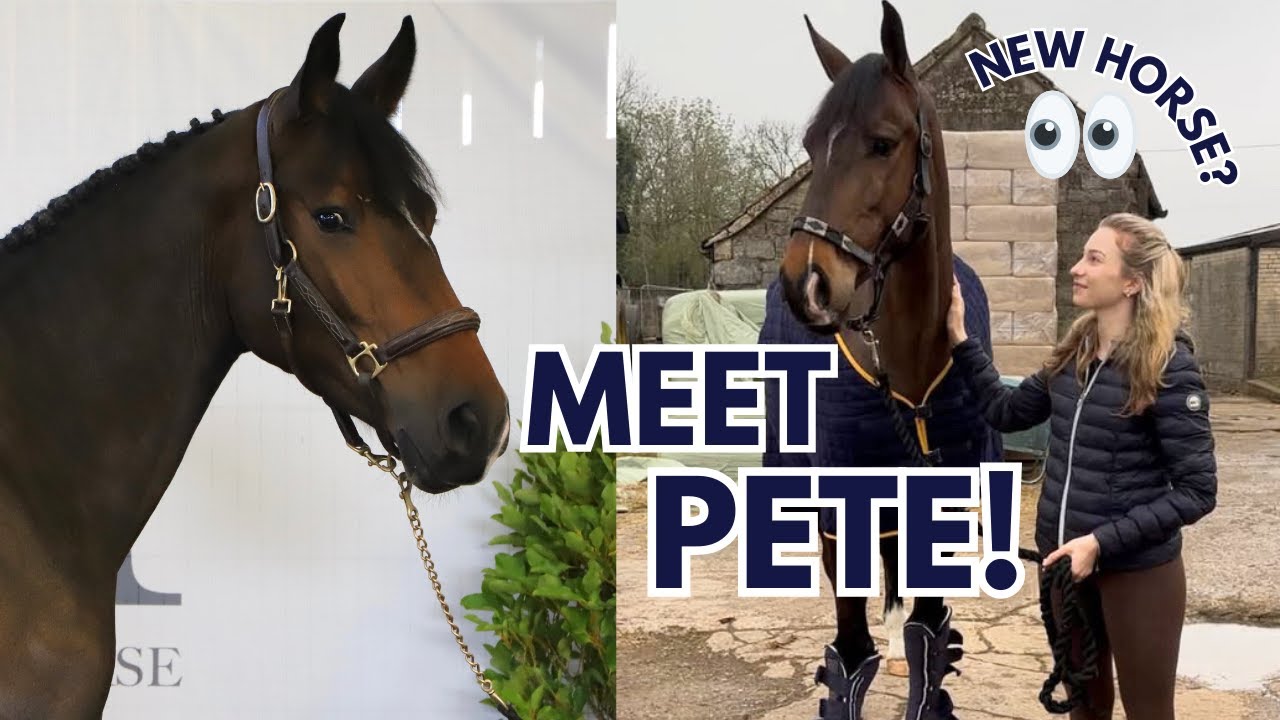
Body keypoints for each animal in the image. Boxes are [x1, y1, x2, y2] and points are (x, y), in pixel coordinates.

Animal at [761, 3, 1001, 719]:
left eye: (884, 142)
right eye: (810, 145)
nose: (806, 285)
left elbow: (929, 637)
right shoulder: (841, 504)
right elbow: (849, 651)